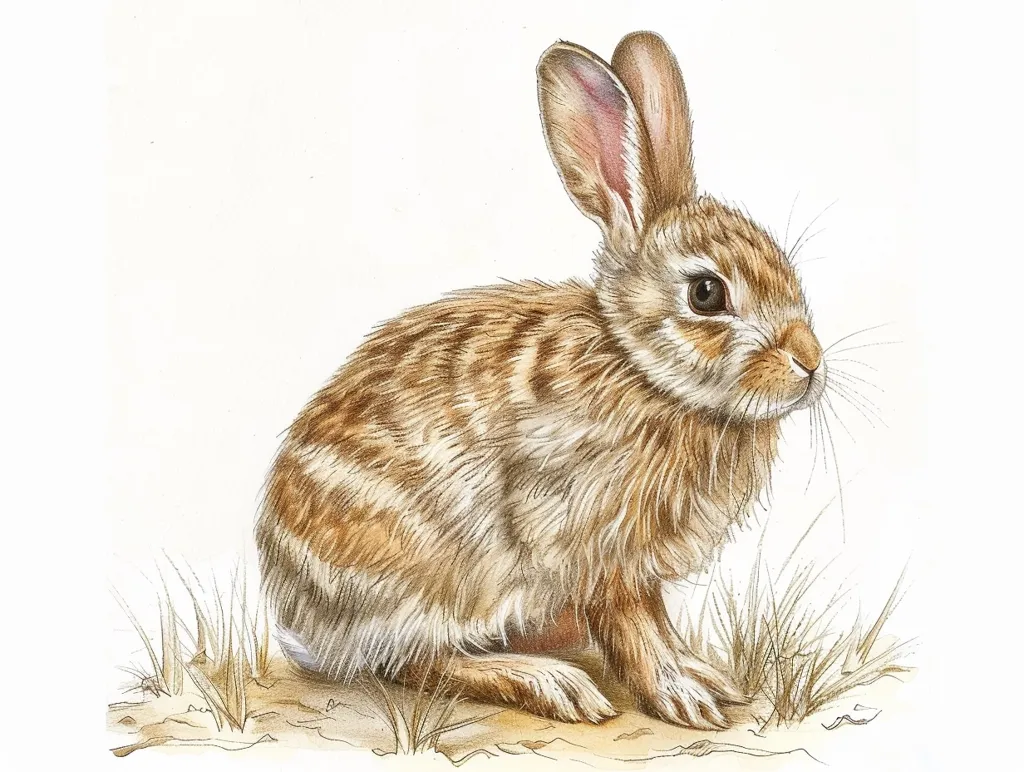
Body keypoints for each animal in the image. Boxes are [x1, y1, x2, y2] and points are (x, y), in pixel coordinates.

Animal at [255, 30, 827, 730]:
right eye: (706, 293)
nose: (810, 362)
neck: (643, 372)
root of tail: (302, 615)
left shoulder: (636, 565)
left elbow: (657, 622)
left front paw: (704, 676)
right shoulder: (595, 547)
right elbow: (634, 627)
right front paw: (682, 696)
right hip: (440, 580)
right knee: (411, 663)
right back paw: (549, 682)